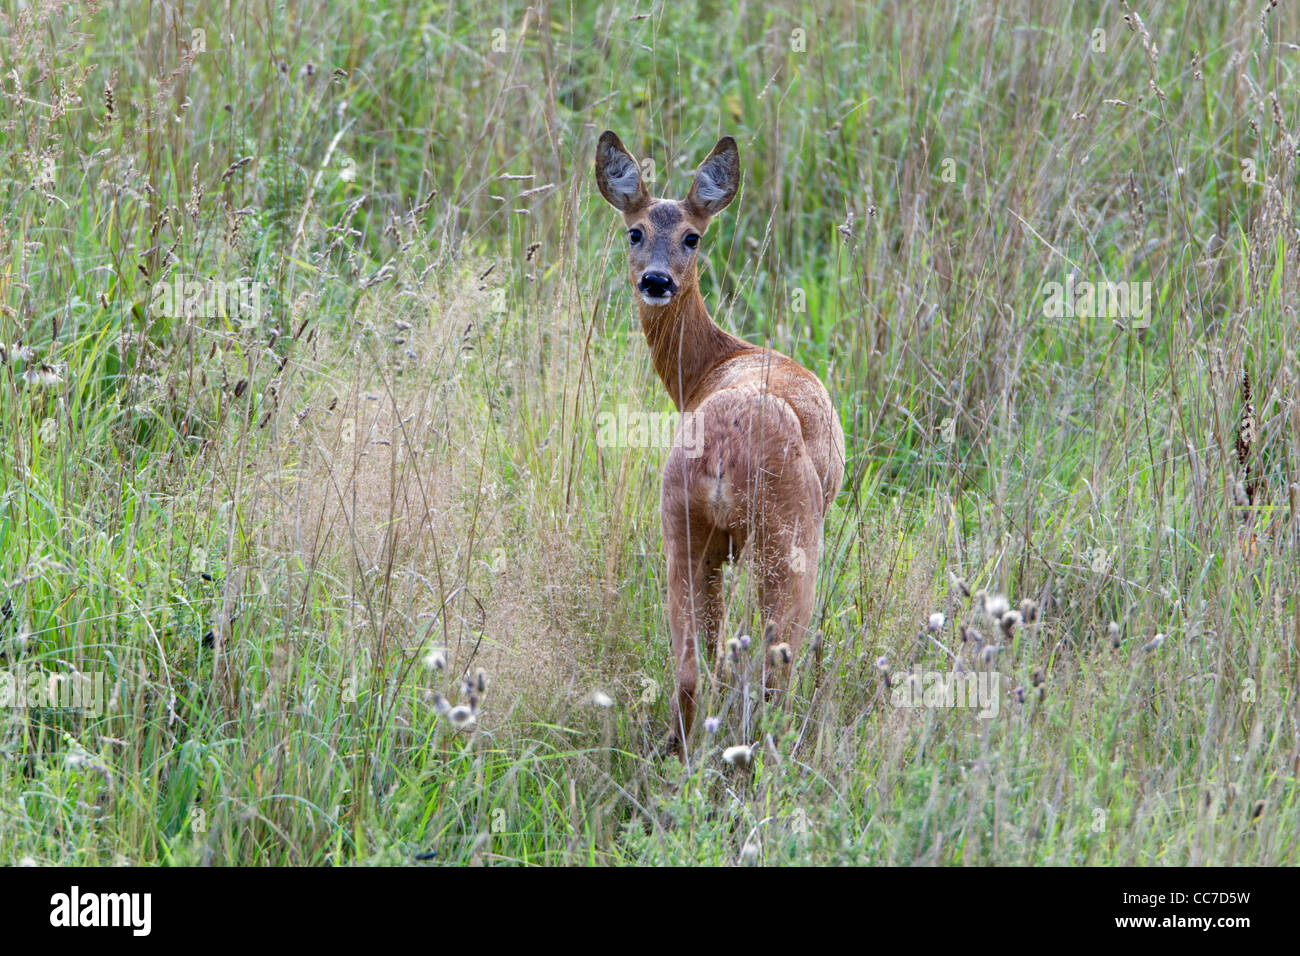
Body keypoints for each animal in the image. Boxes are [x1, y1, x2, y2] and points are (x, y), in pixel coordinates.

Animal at [595, 130, 847, 749]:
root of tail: (722, 456)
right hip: (788, 536)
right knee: (775, 668)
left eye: (692, 235)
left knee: (691, 667)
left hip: (681, 525)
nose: (656, 280)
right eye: (634, 231)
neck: (716, 362)